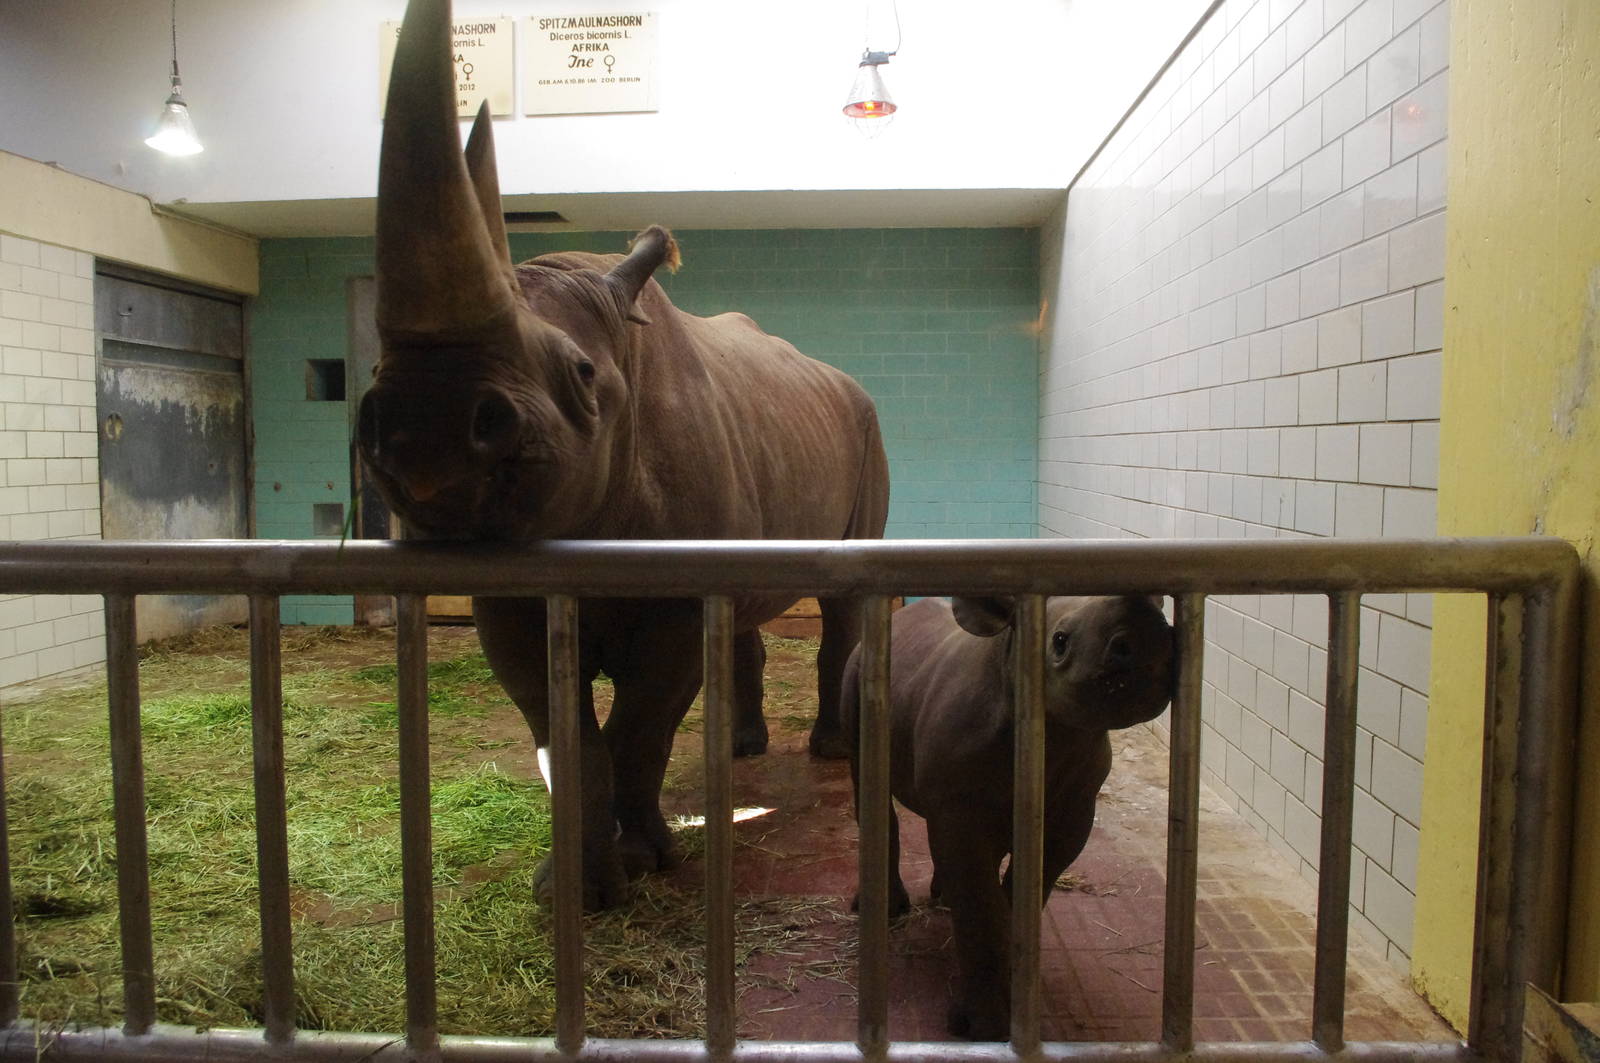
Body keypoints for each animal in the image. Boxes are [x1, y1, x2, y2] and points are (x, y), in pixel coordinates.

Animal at [359, 0, 889, 909]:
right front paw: (568, 886)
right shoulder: (512, 593)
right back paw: (742, 748)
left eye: (580, 376)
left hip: (867, 422)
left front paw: (641, 861)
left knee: (839, 597)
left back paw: (823, 749)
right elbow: (566, 734)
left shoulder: (673, 597)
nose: (425, 431)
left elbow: (641, 722)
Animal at [841, 595, 1174, 1039]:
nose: (1147, 638)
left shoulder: (1073, 810)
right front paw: (982, 1025)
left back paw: (941, 894)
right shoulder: (961, 806)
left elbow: (1022, 892)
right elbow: (981, 905)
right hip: (858, 676)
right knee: (868, 782)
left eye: (1166, 622)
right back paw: (884, 909)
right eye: (1060, 641)